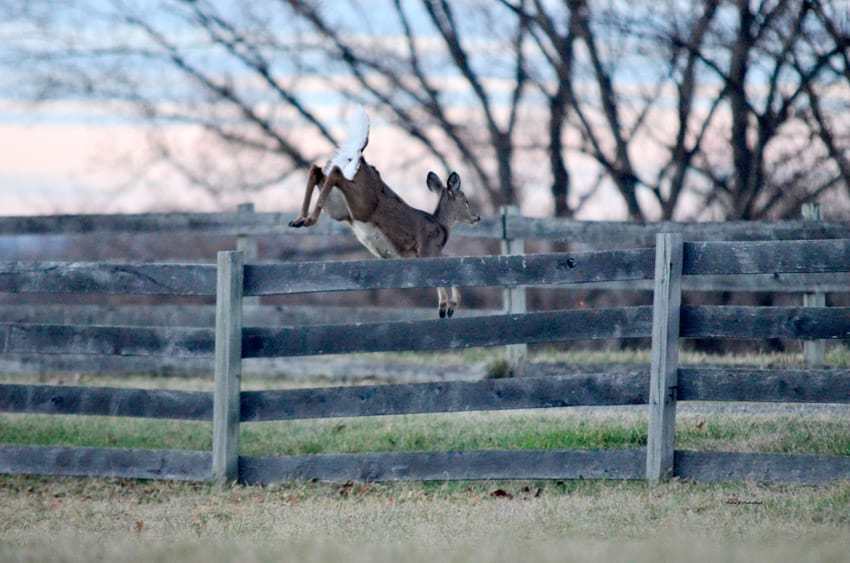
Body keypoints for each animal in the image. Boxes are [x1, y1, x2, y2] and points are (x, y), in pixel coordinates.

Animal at [290, 106, 476, 318]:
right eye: (466, 201)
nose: (476, 217)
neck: (442, 225)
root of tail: (360, 157)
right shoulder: (427, 249)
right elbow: (444, 272)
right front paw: (445, 306)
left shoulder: (423, 254)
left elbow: (451, 262)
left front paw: (450, 305)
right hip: (362, 203)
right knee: (335, 172)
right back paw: (307, 219)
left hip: (340, 208)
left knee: (317, 170)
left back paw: (300, 219)